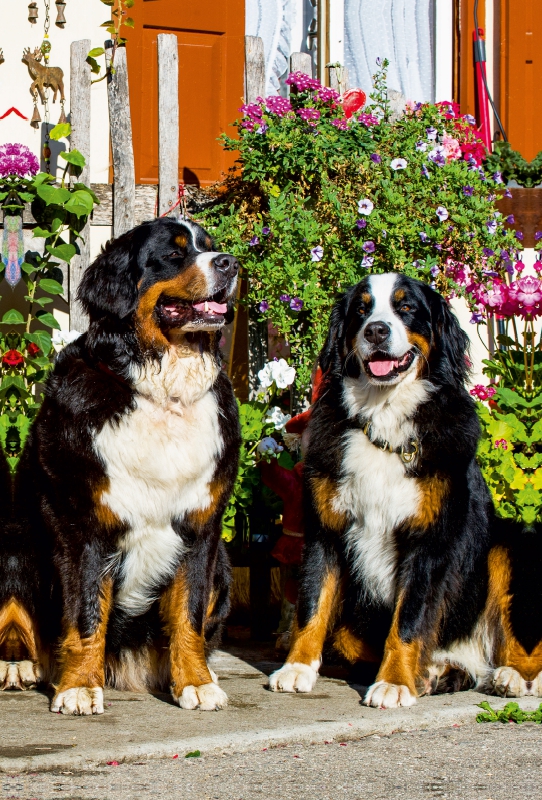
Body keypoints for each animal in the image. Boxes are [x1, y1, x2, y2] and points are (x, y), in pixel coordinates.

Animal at [6, 217, 240, 712]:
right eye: (173, 254)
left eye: (210, 247)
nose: (230, 263)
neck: (164, 394)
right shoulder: (82, 526)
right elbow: (86, 612)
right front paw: (78, 687)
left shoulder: (201, 528)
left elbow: (189, 614)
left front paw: (195, 682)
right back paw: (18, 665)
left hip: (226, 568)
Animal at [270, 274, 542, 708]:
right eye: (361, 309)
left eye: (407, 308)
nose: (376, 330)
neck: (384, 419)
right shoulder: (325, 530)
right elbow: (314, 604)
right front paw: (297, 668)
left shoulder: (428, 540)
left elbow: (409, 618)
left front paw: (395, 682)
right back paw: (443, 672)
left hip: (509, 543)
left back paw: (510, 676)